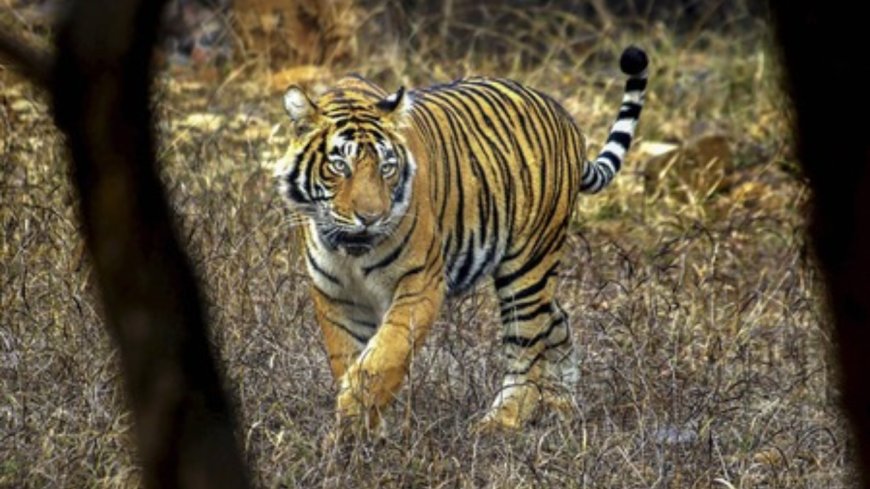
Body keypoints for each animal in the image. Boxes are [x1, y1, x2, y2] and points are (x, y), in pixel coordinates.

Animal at [275, 46, 648, 433]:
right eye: (340, 167)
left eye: (386, 168)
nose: (371, 217)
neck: (351, 255)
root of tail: (564, 115)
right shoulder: (334, 294)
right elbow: (348, 357)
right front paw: (360, 430)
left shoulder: (421, 282)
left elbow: (384, 354)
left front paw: (355, 413)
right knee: (556, 318)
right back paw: (562, 405)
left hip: (528, 265)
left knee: (528, 344)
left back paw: (502, 421)